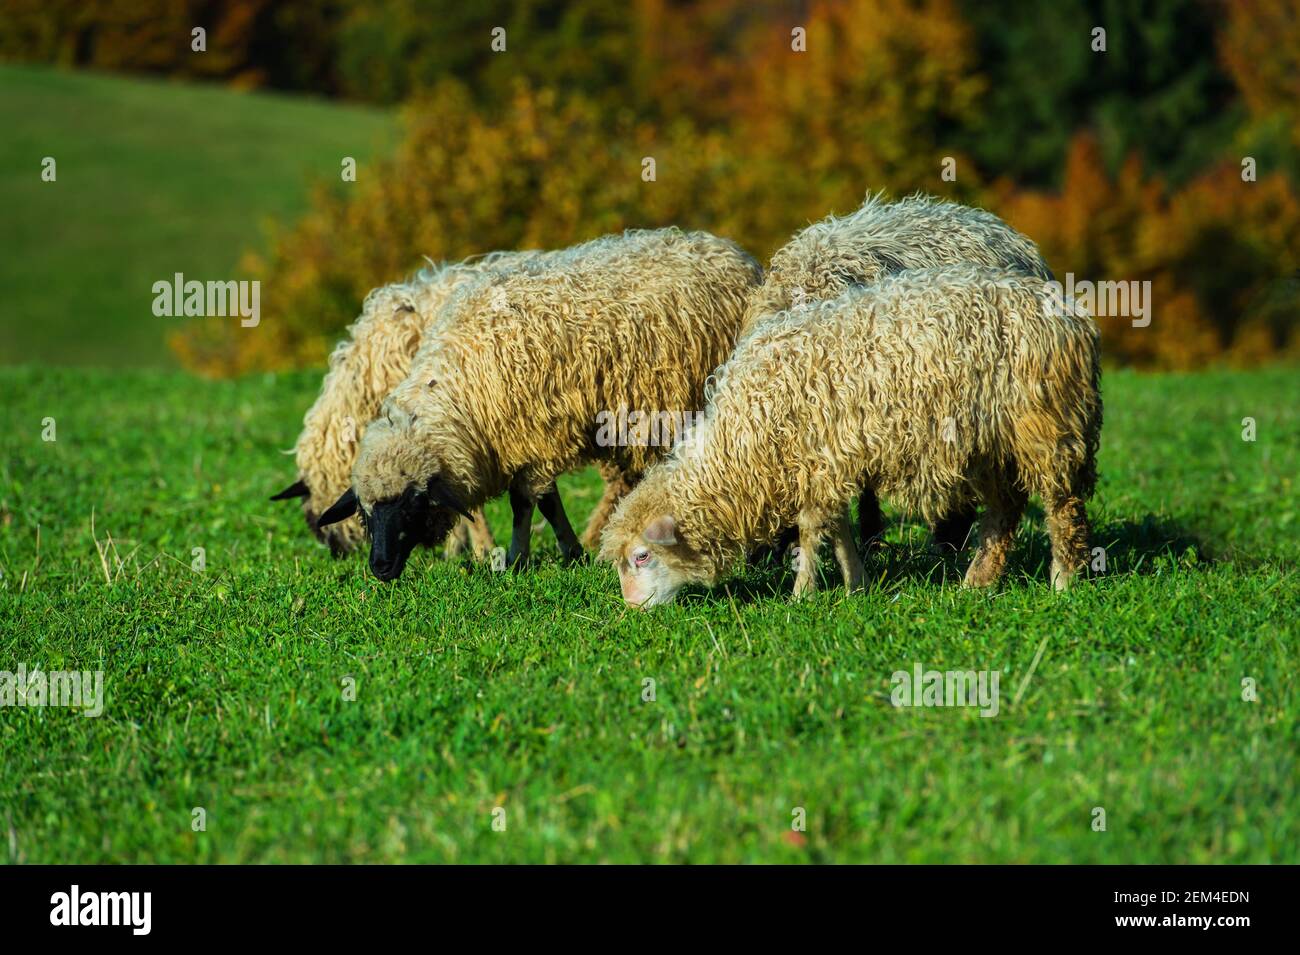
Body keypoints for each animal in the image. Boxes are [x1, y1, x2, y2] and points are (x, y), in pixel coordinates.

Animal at [313, 227, 763, 582]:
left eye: (411, 506)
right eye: (366, 513)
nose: (379, 568)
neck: (462, 388)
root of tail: (730, 250)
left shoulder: (536, 437)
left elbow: (527, 502)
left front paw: (520, 557)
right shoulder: (522, 441)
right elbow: (545, 501)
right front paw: (566, 551)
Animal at [601, 264, 1102, 608]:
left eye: (641, 557)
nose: (632, 609)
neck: (745, 440)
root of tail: (1071, 315)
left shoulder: (816, 459)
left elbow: (810, 530)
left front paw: (802, 593)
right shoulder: (829, 465)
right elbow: (838, 529)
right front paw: (855, 583)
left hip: (1045, 426)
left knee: (1061, 507)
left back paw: (1063, 582)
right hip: (990, 444)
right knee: (1004, 510)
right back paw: (977, 583)